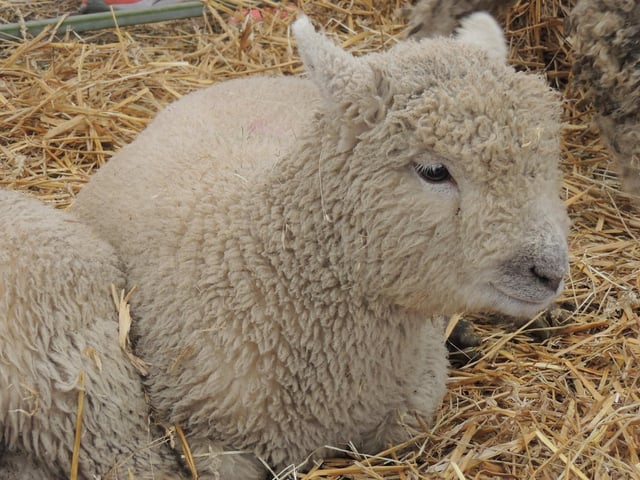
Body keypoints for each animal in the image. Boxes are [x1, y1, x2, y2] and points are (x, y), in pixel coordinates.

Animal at [72, 14, 569, 479]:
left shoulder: (411, 408)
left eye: (545, 161)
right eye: (433, 170)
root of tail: (246, 79)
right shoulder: (202, 438)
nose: (549, 272)